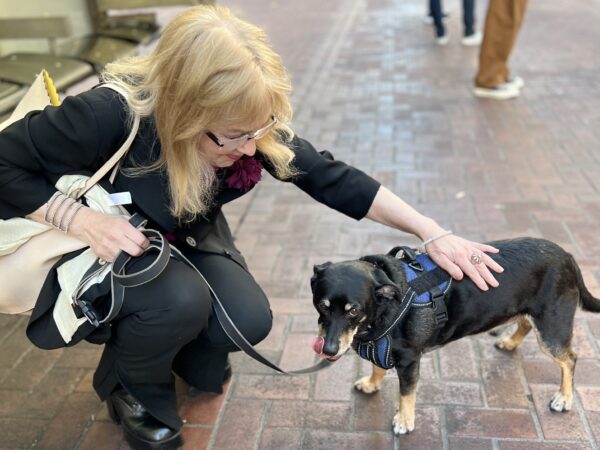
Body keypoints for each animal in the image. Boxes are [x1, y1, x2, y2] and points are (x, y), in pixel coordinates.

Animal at [310, 237, 600, 434]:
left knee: (570, 359)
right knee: (526, 325)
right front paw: (372, 383)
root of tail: (568, 256)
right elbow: (377, 366)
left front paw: (404, 420)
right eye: (322, 305)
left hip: (552, 328)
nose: (328, 350)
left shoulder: (409, 361)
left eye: (354, 311)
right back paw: (510, 342)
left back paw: (564, 398)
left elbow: (406, 393)